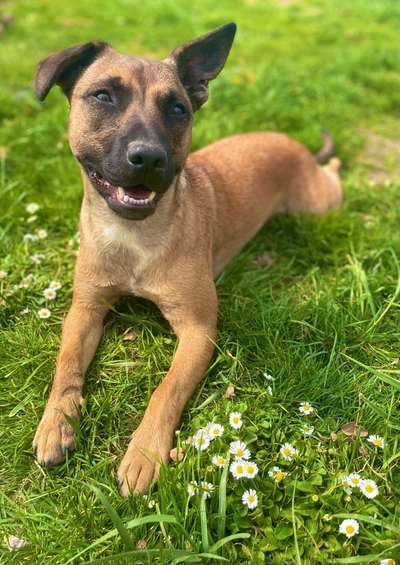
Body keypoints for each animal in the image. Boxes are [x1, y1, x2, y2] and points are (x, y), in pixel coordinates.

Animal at [32, 23, 342, 494]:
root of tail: (297, 146)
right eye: (103, 95)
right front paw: (56, 423)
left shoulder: (199, 331)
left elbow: (167, 389)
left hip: (319, 204)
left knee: (336, 171)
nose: (147, 157)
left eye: (177, 108)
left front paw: (143, 454)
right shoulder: (85, 310)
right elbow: (65, 365)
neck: (135, 236)